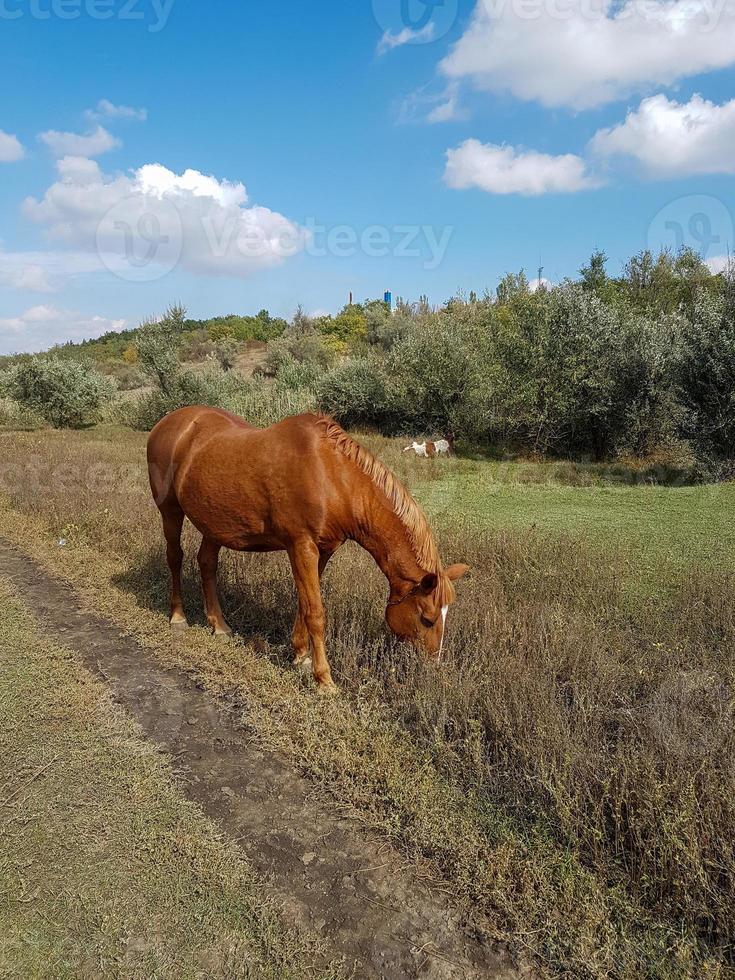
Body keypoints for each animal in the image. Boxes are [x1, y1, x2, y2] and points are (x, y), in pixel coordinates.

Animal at [148, 406, 472, 688]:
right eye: (427, 619)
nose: (432, 669)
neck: (332, 477)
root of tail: (168, 422)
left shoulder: (323, 551)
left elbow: (304, 604)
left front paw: (300, 656)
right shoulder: (301, 546)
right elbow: (315, 612)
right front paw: (323, 679)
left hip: (213, 524)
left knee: (207, 563)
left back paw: (219, 625)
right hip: (170, 510)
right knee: (175, 557)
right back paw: (178, 617)